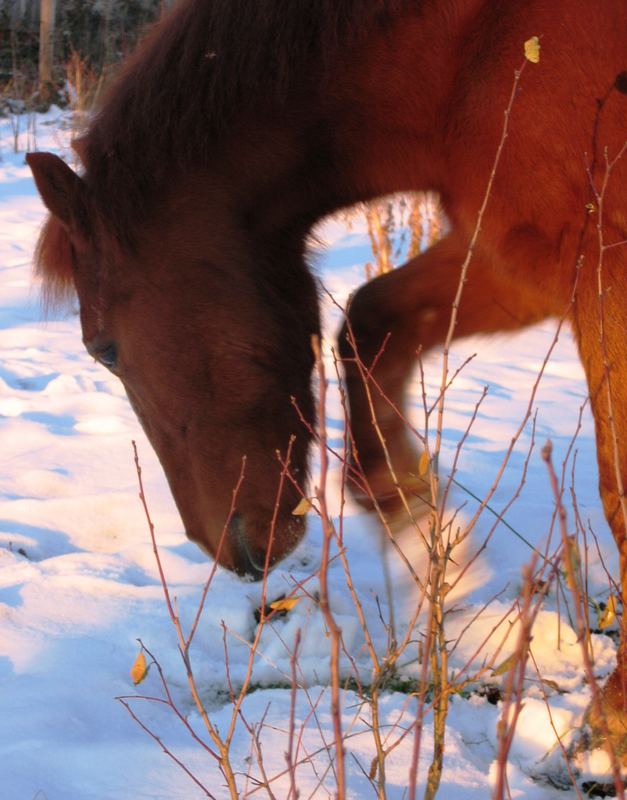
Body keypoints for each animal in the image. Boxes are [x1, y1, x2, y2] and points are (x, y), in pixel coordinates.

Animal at [28, 0, 627, 740]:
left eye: (104, 349)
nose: (224, 551)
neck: (473, 52)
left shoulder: (600, 272)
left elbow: (618, 492)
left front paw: (611, 722)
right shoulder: (514, 257)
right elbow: (369, 324)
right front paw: (422, 533)